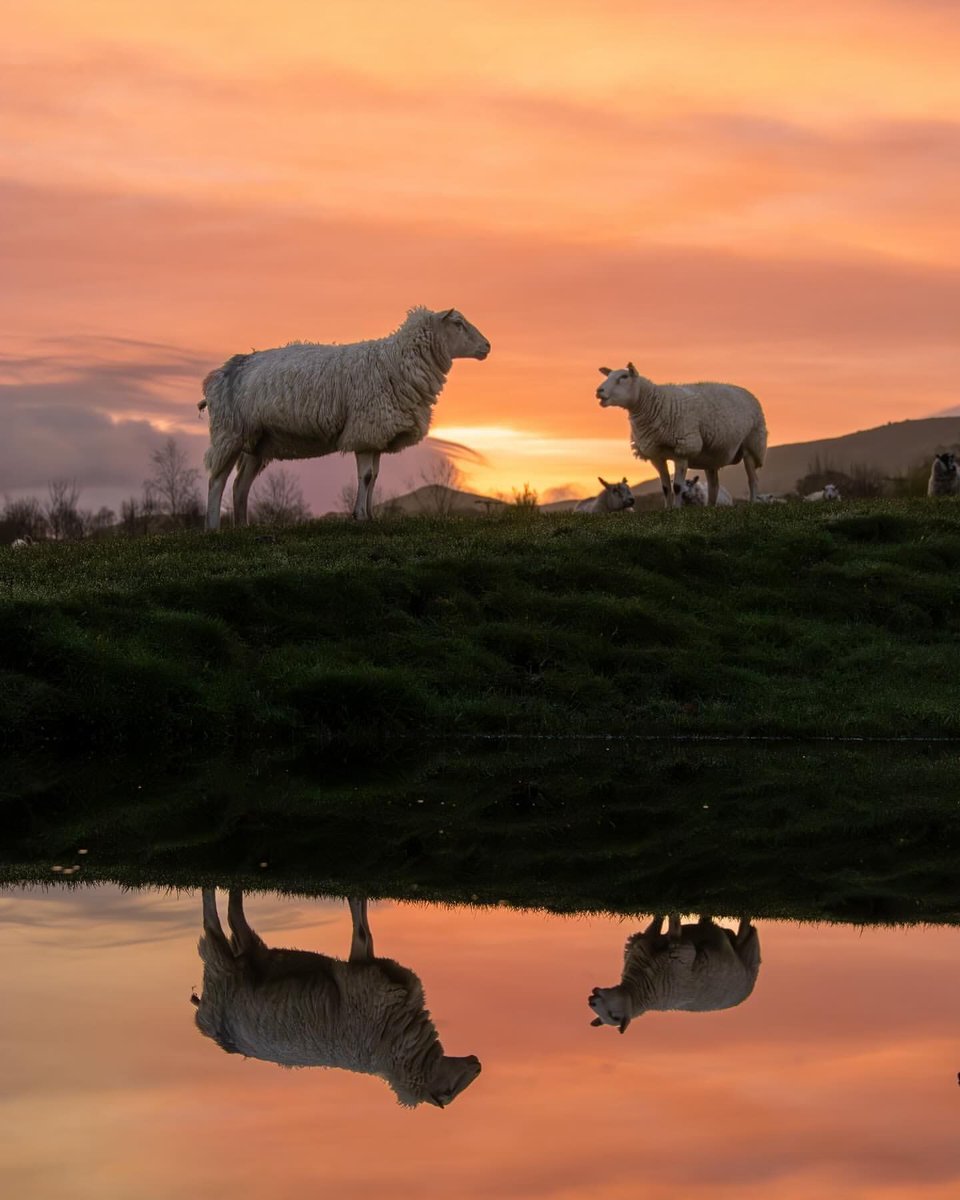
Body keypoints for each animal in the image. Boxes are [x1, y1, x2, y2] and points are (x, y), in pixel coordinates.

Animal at [193, 888, 480, 1108]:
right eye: (448, 1092)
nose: (477, 1064)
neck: (392, 1044)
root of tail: (204, 1022)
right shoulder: (361, 975)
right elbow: (360, 926)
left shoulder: (368, 965)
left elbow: (365, 928)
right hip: (221, 966)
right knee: (211, 922)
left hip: (250, 957)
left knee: (235, 914)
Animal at [199, 309, 492, 530]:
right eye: (458, 323)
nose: (488, 346)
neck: (395, 362)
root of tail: (222, 371)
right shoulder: (364, 429)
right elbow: (366, 476)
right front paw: (360, 516)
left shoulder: (376, 435)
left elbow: (374, 477)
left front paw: (370, 516)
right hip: (229, 434)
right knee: (216, 481)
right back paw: (213, 529)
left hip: (257, 442)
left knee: (240, 485)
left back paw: (242, 527)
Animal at [588, 907, 763, 1032]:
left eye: (612, 1015)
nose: (590, 1000)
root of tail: (750, 990)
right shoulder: (664, 945)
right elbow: (668, 924)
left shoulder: (676, 948)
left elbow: (666, 922)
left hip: (748, 953)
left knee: (746, 930)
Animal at [595, 357, 768, 504]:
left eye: (624, 377)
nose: (599, 391)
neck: (654, 404)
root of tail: (746, 391)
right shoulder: (656, 455)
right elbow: (665, 488)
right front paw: (668, 509)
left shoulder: (684, 449)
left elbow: (677, 487)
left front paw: (676, 510)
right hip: (711, 455)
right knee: (714, 486)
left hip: (752, 444)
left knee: (753, 480)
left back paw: (752, 503)